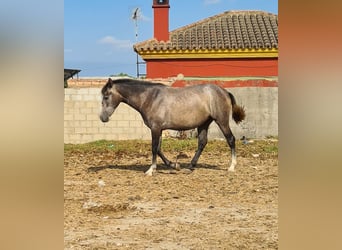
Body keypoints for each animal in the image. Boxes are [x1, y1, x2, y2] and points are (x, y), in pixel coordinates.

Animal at [99, 78, 246, 176]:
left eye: (106, 96)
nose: (103, 118)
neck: (150, 98)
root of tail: (225, 91)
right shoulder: (159, 129)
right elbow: (159, 149)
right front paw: (175, 166)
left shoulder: (155, 128)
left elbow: (154, 148)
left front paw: (151, 170)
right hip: (204, 124)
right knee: (202, 143)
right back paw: (190, 166)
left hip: (221, 121)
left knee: (231, 139)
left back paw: (231, 166)